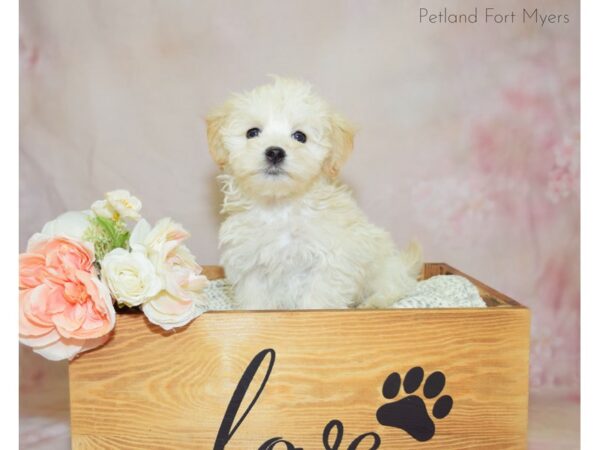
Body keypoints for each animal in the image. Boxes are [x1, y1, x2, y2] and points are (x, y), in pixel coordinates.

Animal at [206, 77, 422, 310]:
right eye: (252, 133)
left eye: (300, 136)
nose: (275, 152)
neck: (280, 207)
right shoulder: (251, 265)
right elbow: (257, 302)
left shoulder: (329, 263)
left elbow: (318, 301)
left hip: (383, 267)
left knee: (394, 287)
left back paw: (373, 303)